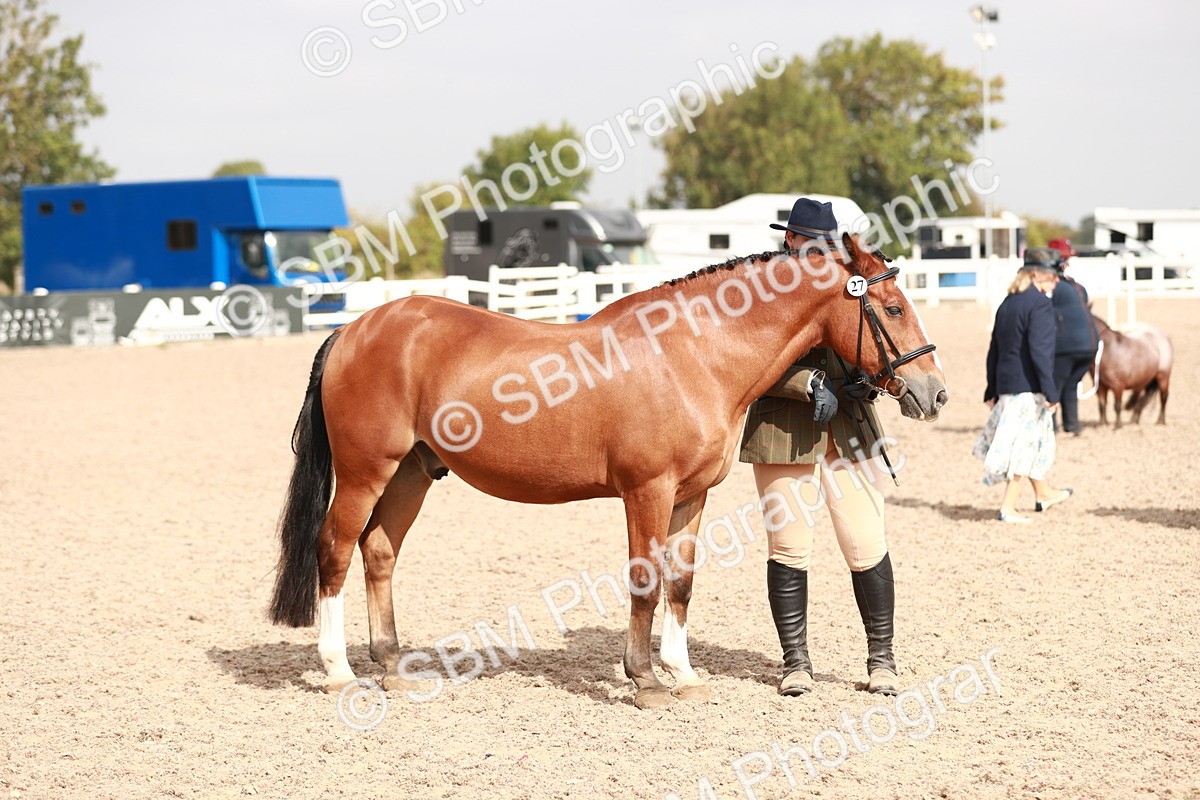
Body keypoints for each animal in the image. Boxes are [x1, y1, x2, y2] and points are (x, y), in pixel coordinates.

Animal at [267, 233, 949, 710]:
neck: (693, 354)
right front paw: (645, 681)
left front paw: (684, 676)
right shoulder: (646, 491)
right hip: (365, 473)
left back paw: (391, 667)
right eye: (892, 307)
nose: (934, 392)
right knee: (335, 549)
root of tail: (353, 329)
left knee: (379, 552)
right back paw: (339, 672)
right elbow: (645, 581)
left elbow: (681, 584)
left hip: (410, 473)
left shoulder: (690, 498)